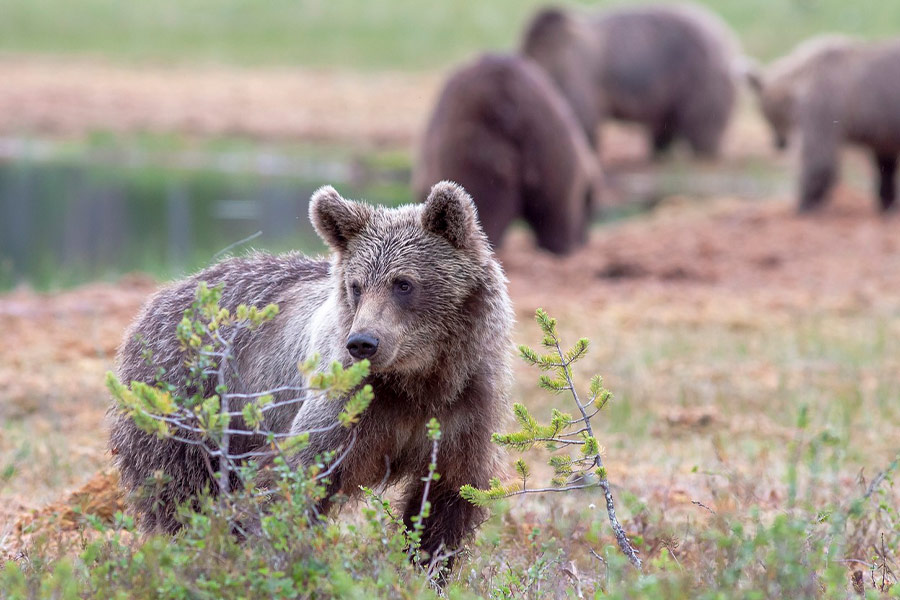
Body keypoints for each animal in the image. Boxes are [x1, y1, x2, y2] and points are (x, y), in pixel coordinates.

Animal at [108, 181, 513, 568]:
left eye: (403, 283)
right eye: (356, 285)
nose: (363, 343)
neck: (419, 380)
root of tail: (162, 295)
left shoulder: (464, 410)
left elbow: (447, 500)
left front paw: (426, 567)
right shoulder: (346, 407)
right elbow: (293, 477)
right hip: (187, 406)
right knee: (181, 493)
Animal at [521, 3, 740, 158]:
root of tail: (728, 38)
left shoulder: (577, 75)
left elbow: (584, 118)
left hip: (697, 76)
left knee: (702, 125)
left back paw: (703, 151)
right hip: (670, 94)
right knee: (665, 126)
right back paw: (659, 151)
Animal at [746, 37, 900, 212]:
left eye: (766, 114)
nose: (779, 144)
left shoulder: (823, 107)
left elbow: (818, 157)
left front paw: (805, 204)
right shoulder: (883, 130)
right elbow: (885, 164)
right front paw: (887, 202)